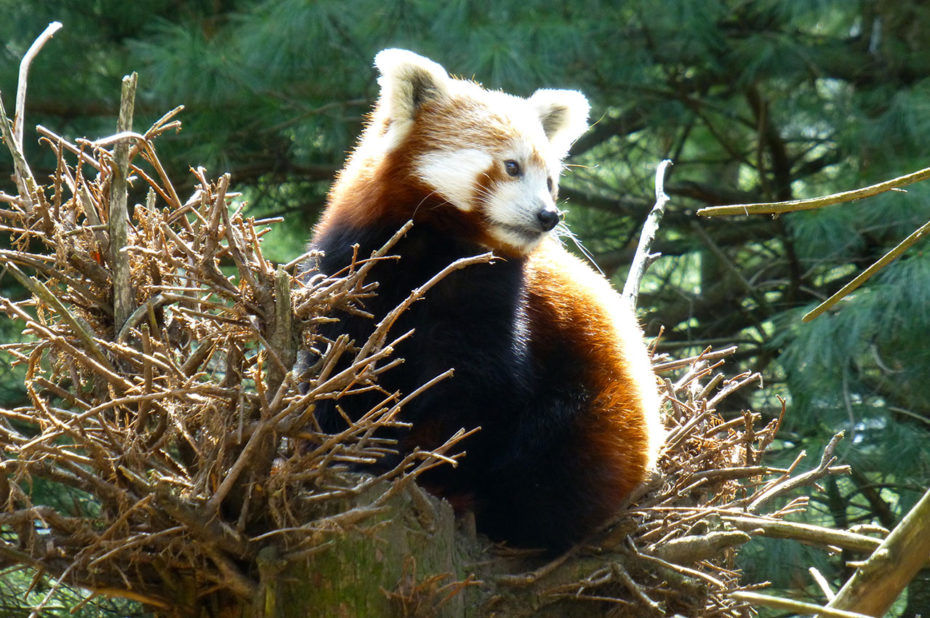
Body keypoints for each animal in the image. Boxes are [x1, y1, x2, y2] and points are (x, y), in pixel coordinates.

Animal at [308, 49, 664, 548]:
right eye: (512, 167)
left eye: (550, 180)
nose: (549, 216)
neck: (434, 246)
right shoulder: (353, 267)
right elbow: (341, 356)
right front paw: (338, 439)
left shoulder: (494, 297)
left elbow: (478, 390)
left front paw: (409, 458)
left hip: (599, 414)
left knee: (548, 468)